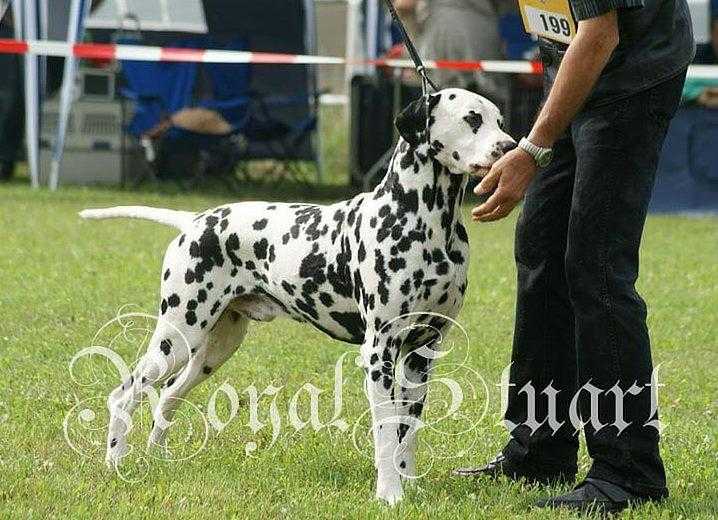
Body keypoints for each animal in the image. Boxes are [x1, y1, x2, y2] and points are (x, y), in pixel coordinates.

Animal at [80, 88, 516, 504]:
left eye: (500, 120)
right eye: (472, 119)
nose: (510, 147)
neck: (426, 222)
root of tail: (195, 220)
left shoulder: (420, 353)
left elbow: (406, 434)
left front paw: (409, 485)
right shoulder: (379, 352)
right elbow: (385, 432)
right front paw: (389, 495)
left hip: (213, 348)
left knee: (167, 396)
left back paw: (158, 458)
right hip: (177, 335)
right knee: (125, 394)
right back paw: (116, 463)